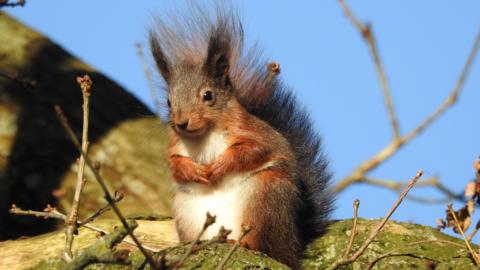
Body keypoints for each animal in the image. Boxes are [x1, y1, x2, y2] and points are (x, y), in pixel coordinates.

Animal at [150, 5, 334, 268]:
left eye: (208, 95)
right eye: (168, 101)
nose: (181, 123)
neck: (204, 134)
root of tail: (292, 247)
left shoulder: (253, 132)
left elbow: (254, 150)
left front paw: (218, 166)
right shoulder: (174, 144)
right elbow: (174, 165)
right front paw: (195, 170)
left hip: (265, 196)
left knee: (265, 245)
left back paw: (247, 244)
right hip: (185, 209)